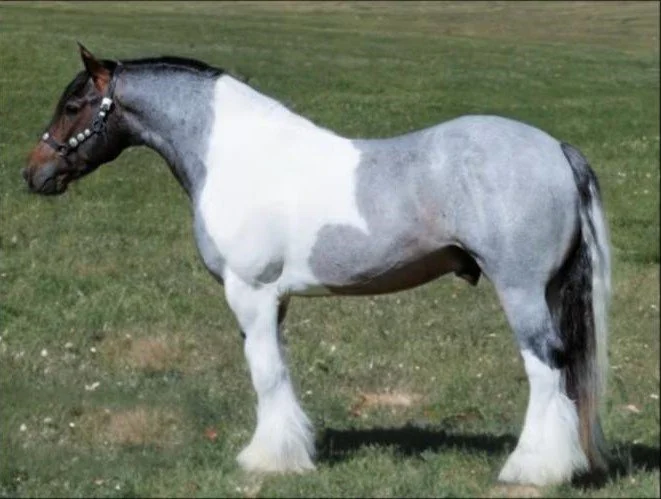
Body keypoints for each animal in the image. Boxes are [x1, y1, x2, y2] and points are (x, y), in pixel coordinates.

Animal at [23, 45, 611, 486]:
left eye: (75, 105)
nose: (34, 173)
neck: (237, 155)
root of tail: (555, 150)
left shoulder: (249, 292)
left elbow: (265, 372)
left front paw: (267, 460)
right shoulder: (273, 300)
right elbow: (276, 371)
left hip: (521, 291)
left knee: (545, 367)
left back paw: (533, 469)